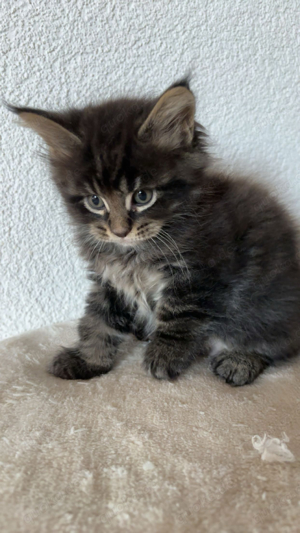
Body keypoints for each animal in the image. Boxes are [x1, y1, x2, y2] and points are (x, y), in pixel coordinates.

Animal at [8, 79, 300, 384]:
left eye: (142, 196)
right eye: (95, 201)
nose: (120, 231)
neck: (132, 253)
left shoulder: (200, 274)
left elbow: (177, 316)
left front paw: (163, 357)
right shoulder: (110, 279)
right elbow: (97, 321)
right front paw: (88, 359)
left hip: (263, 306)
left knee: (274, 342)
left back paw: (239, 361)